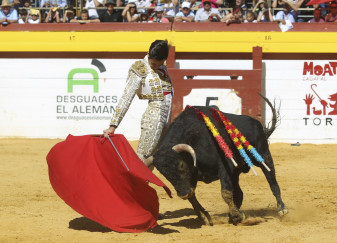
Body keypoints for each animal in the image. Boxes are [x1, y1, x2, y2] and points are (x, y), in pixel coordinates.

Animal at [144, 95, 286, 226]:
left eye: (181, 165)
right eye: (164, 174)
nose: (183, 194)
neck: (194, 138)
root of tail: (257, 124)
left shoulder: (224, 167)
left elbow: (225, 193)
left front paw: (236, 216)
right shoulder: (193, 176)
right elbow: (193, 197)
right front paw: (206, 217)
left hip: (264, 156)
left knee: (273, 183)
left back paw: (282, 210)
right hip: (235, 173)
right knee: (239, 193)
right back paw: (232, 216)